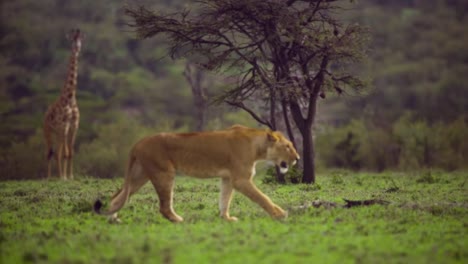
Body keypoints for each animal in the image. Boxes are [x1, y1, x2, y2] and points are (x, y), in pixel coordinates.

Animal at [43, 28, 82, 179]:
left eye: (80, 40)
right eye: (72, 41)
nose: (77, 50)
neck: (70, 99)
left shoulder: (73, 126)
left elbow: (70, 152)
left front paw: (70, 176)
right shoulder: (64, 126)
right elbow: (64, 153)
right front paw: (64, 177)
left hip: (57, 133)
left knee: (55, 152)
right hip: (48, 132)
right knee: (50, 152)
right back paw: (48, 178)